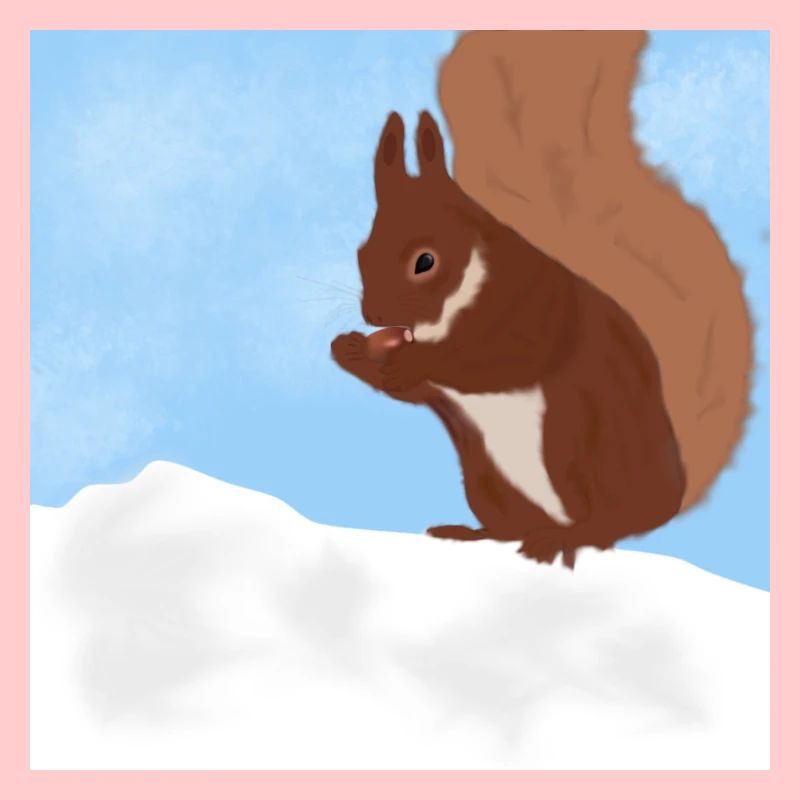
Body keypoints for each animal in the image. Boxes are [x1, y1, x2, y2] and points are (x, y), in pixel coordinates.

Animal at [331, 111, 687, 567]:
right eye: (362, 252)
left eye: (425, 261)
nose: (373, 316)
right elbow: (405, 389)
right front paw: (349, 348)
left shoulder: (533, 314)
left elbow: (492, 359)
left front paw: (411, 360)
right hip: (486, 481)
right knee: (510, 530)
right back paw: (469, 533)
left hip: (588, 450)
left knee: (607, 527)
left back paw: (563, 539)